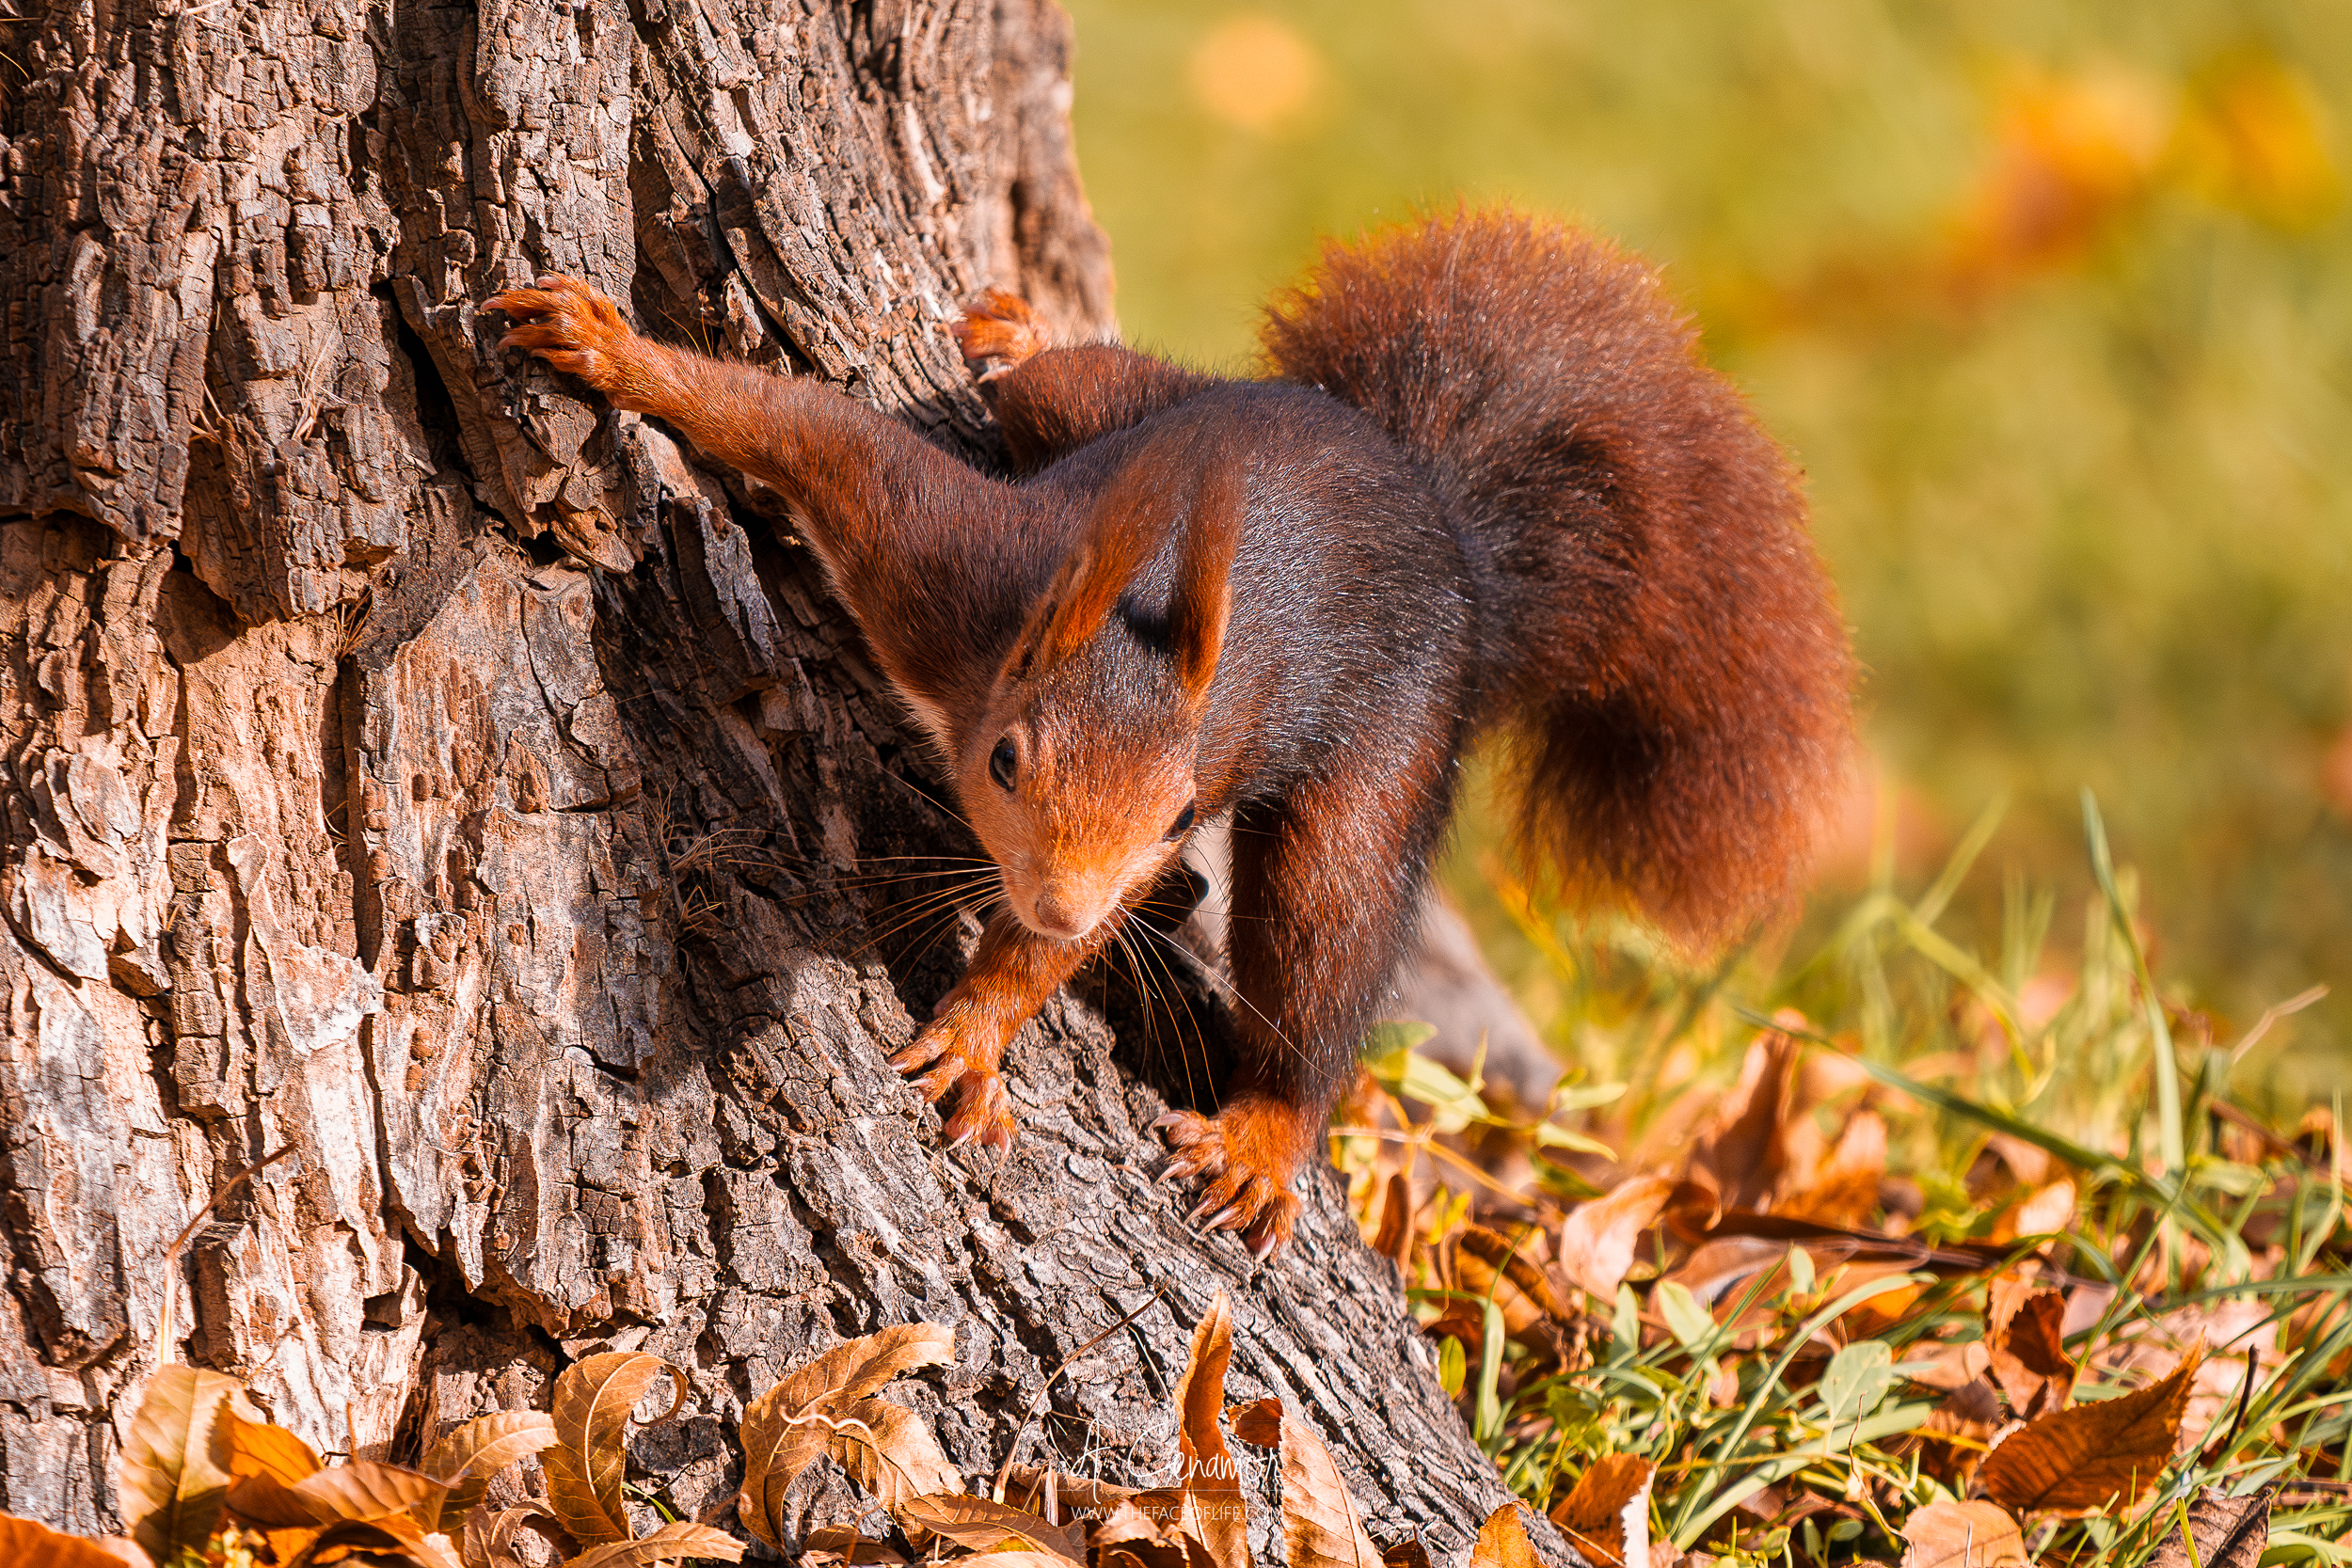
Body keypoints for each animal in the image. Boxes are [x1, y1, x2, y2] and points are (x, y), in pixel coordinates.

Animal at [486, 208, 1853, 1257]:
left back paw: (1264, 1135)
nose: (1061, 901)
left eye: (1175, 806)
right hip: (1127, 406)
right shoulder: (942, 564)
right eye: (1005, 761)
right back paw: (1018, 337)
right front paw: (610, 350)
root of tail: (1439, 516)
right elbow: (801, 426)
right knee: (1066, 384)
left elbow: (1076, 938)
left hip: (1383, 751)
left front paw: (979, 1031)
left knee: (1327, 931)